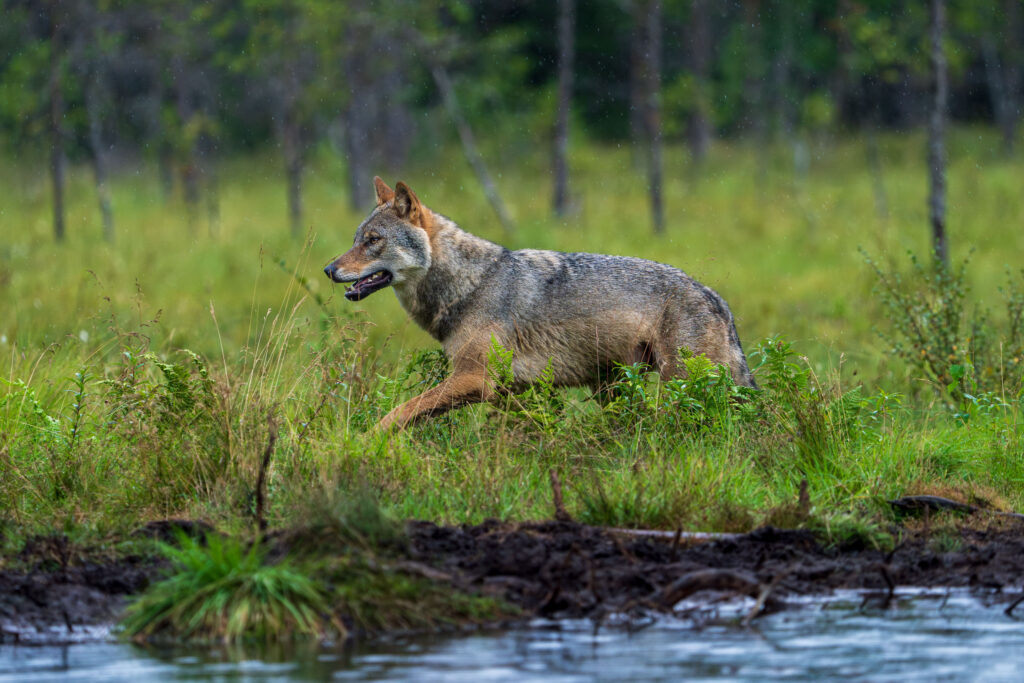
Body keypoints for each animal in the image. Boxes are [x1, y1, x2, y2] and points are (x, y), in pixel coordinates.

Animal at [324, 177, 757, 430]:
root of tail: (716, 299)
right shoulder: (512, 392)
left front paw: (367, 442)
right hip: (615, 387)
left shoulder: (474, 379)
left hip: (678, 385)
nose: (329, 269)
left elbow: (397, 412)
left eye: (373, 241)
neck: (470, 285)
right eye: (356, 238)